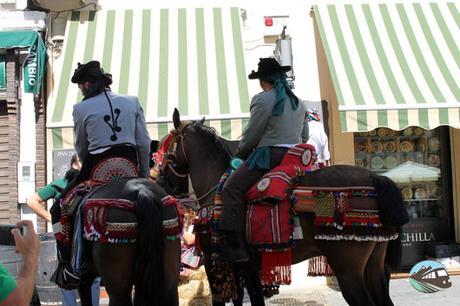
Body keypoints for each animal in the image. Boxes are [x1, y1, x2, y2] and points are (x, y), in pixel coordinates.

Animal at [156, 110, 408, 306]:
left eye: (165, 145)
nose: (160, 180)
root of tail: (375, 178)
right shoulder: (245, 267)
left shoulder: (215, 262)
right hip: (374, 264)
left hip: (349, 269)